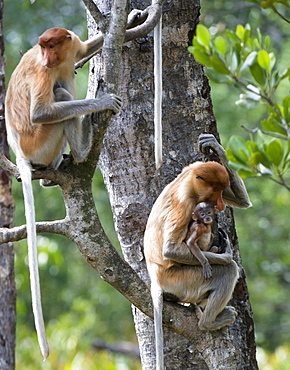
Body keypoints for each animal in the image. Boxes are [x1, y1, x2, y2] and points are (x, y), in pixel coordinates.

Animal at [5, 27, 122, 360]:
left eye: (51, 46)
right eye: (43, 50)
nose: (46, 58)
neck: (57, 60)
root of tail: (20, 152)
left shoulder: (73, 48)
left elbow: (85, 48)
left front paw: (139, 20)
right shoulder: (42, 73)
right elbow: (41, 112)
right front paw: (101, 101)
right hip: (41, 142)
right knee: (60, 95)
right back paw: (81, 150)